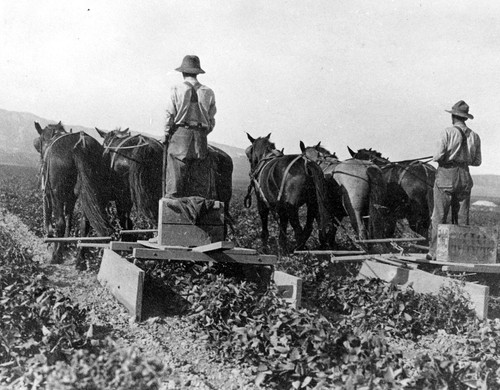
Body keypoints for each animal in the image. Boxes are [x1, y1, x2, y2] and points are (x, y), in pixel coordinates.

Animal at [34, 121, 113, 266]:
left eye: (40, 143)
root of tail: (81, 144)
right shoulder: (72, 197)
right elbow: (70, 220)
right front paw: (63, 245)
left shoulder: (49, 192)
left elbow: (52, 216)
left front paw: (51, 240)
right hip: (92, 194)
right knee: (85, 225)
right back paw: (79, 260)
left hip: (58, 194)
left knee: (60, 222)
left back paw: (56, 256)